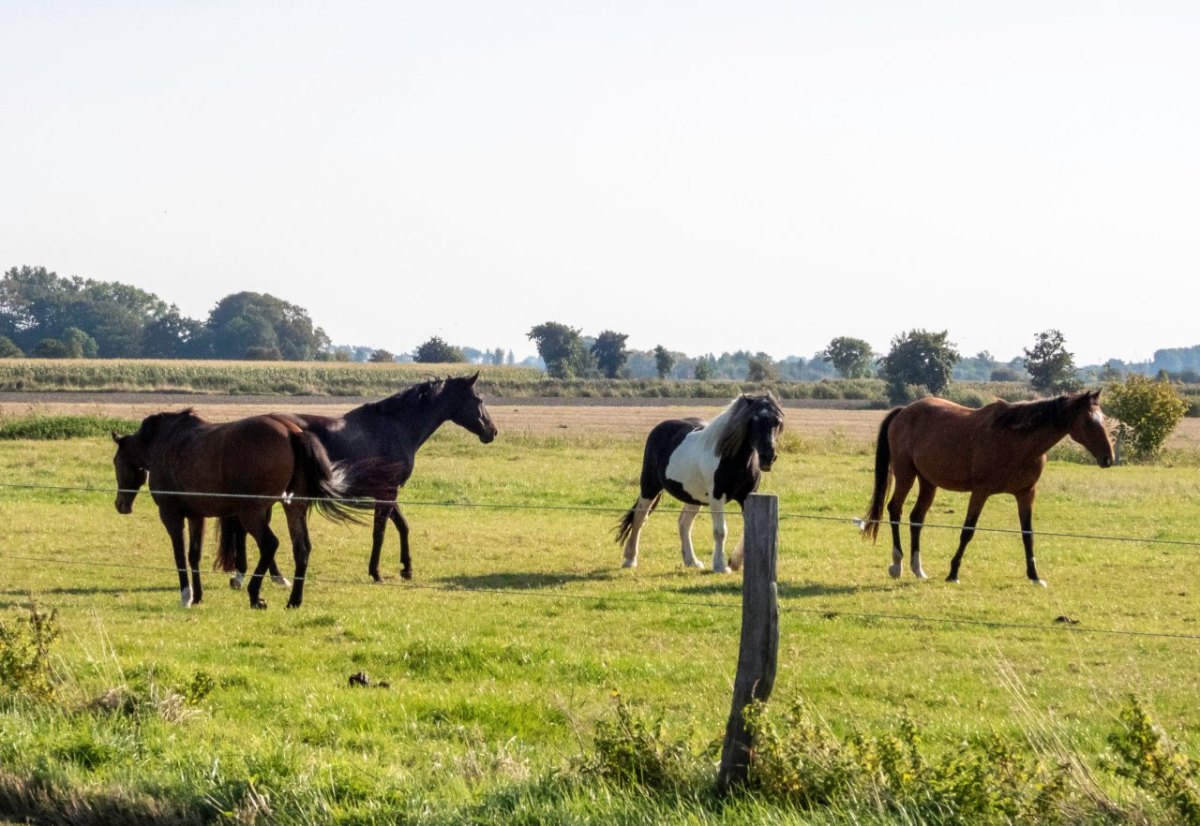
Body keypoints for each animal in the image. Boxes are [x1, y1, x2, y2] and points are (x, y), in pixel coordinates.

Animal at [112, 405, 360, 607]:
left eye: (116, 462)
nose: (120, 504)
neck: (165, 441)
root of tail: (293, 432)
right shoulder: (196, 516)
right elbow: (194, 555)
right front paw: (198, 595)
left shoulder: (171, 516)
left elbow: (180, 556)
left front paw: (186, 595)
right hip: (293, 508)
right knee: (301, 548)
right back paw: (294, 601)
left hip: (251, 513)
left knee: (270, 544)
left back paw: (255, 594)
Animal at [222, 372, 496, 583]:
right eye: (479, 399)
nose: (492, 431)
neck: (395, 427)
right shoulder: (387, 493)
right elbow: (380, 532)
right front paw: (376, 572)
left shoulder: (388, 492)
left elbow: (403, 526)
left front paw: (407, 569)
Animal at [614, 393, 782, 573]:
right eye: (753, 420)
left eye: (777, 421)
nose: (768, 457)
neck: (732, 457)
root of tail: (660, 428)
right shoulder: (717, 496)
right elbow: (720, 531)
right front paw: (720, 565)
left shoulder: (748, 497)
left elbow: (749, 528)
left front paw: (734, 562)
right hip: (650, 486)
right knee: (639, 517)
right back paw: (630, 559)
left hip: (693, 496)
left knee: (684, 523)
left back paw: (692, 561)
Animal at [864, 391, 1113, 583]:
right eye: (1089, 421)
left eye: (1104, 418)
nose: (1108, 458)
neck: (1016, 441)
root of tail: (904, 411)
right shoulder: (980, 492)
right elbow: (967, 531)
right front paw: (953, 573)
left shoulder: (1026, 493)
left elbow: (1028, 534)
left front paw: (1034, 576)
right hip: (905, 474)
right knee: (895, 510)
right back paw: (897, 565)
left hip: (928, 482)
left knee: (916, 518)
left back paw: (918, 569)